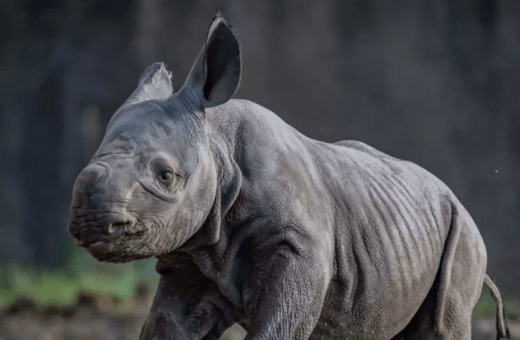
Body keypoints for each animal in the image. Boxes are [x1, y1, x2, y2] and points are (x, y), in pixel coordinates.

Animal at [67, 14, 510, 340]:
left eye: (165, 176)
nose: (90, 219)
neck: (219, 150)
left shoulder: (298, 248)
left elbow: (279, 325)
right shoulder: (190, 257)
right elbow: (166, 326)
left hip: (464, 234)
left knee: (444, 322)